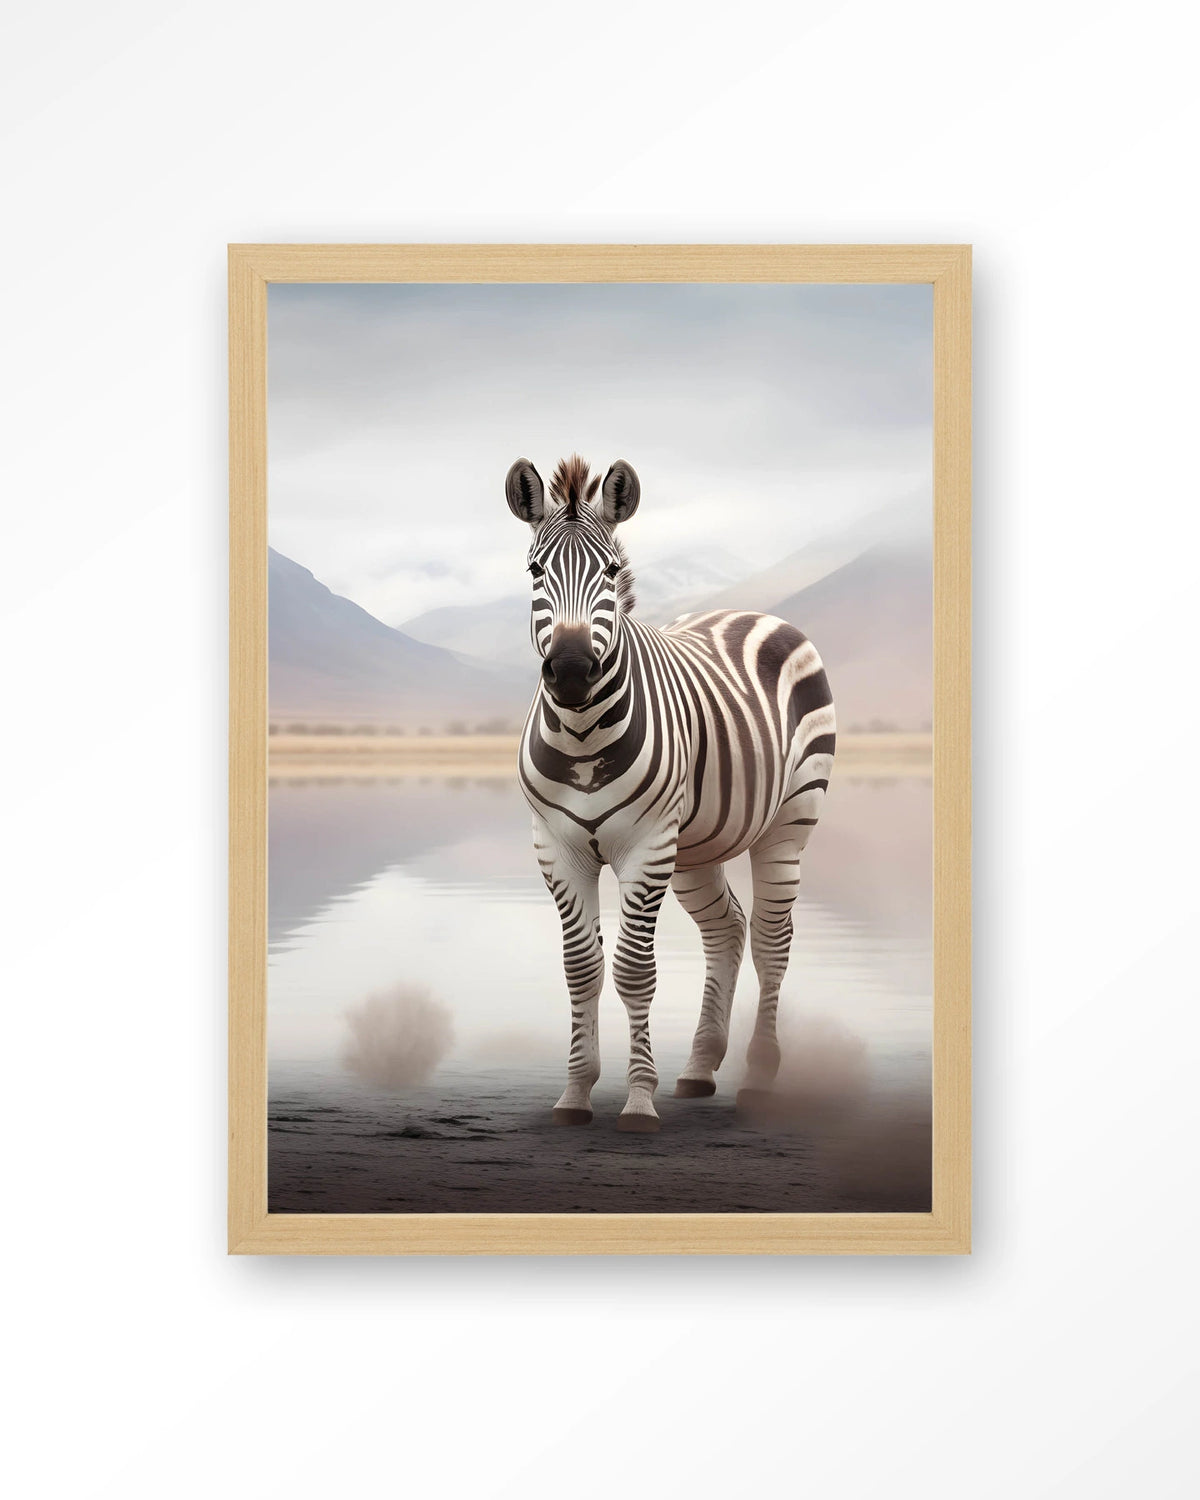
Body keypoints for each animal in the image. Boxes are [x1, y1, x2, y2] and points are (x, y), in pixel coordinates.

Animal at [507, 454, 835, 1132]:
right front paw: (575, 1093)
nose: (571, 671)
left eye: (610, 571)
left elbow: (634, 971)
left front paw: (637, 1101)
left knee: (772, 940)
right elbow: (581, 969)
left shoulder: (645, 846)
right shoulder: (557, 848)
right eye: (534, 571)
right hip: (696, 848)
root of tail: (753, 611)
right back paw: (700, 1068)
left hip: (789, 822)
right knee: (727, 929)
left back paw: (757, 1078)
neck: (582, 734)